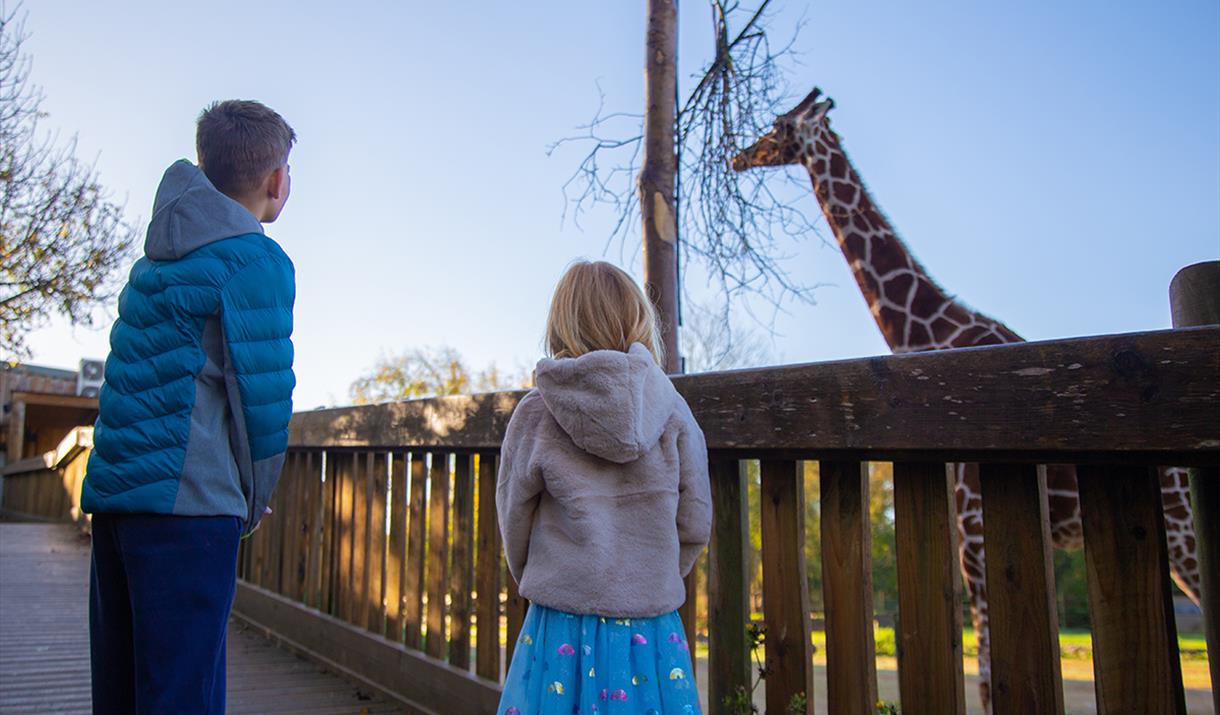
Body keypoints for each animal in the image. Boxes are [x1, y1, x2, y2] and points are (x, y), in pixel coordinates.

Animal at [732, 87, 1200, 712]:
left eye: (777, 128)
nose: (737, 156)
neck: (934, 335)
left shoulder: (975, 527)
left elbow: (987, 681)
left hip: (1180, 524)